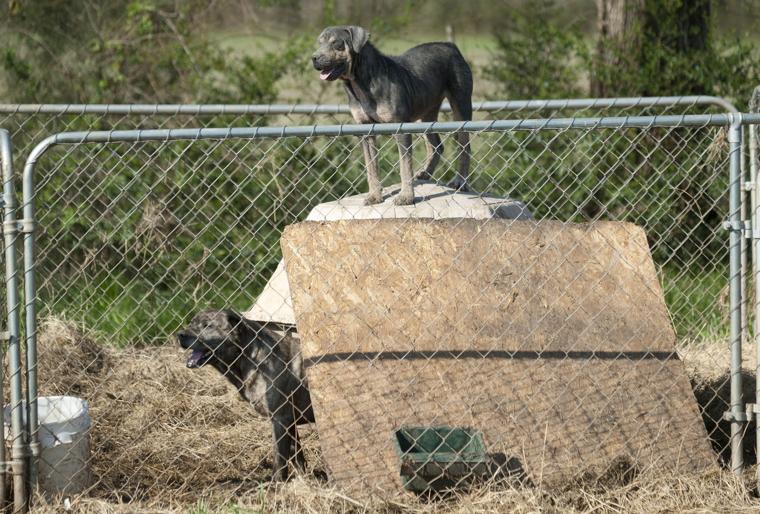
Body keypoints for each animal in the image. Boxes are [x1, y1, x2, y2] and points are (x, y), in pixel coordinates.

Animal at [177, 308, 314, 480]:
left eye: (207, 325)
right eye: (191, 323)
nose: (180, 335)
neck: (250, 356)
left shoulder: (280, 420)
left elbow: (279, 461)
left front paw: (277, 484)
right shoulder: (290, 423)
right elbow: (297, 457)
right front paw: (305, 481)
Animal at [312, 24, 472, 204]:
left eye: (336, 43)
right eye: (319, 43)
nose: (314, 58)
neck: (362, 82)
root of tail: (450, 46)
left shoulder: (401, 128)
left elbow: (405, 166)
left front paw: (406, 197)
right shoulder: (366, 131)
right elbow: (371, 167)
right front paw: (374, 196)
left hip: (461, 106)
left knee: (465, 145)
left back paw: (460, 181)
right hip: (425, 113)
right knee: (436, 145)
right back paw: (425, 173)